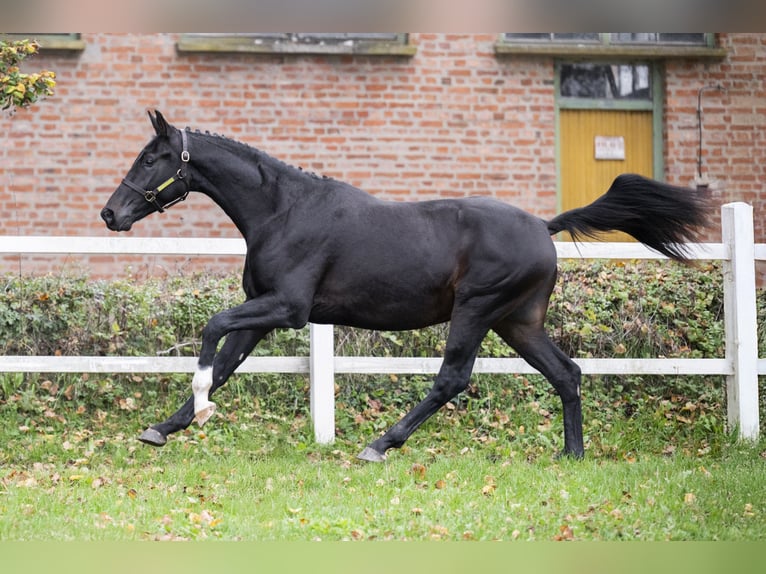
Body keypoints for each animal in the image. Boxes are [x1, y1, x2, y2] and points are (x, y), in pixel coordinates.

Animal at [102, 112, 712, 464]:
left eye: (153, 157)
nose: (112, 213)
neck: (282, 210)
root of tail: (543, 226)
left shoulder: (287, 308)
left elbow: (213, 332)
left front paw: (197, 408)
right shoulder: (262, 310)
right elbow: (227, 362)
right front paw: (163, 427)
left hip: (477, 311)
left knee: (453, 378)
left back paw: (380, 445)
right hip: (517, 322)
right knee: (567, 373)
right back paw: (572, 456)